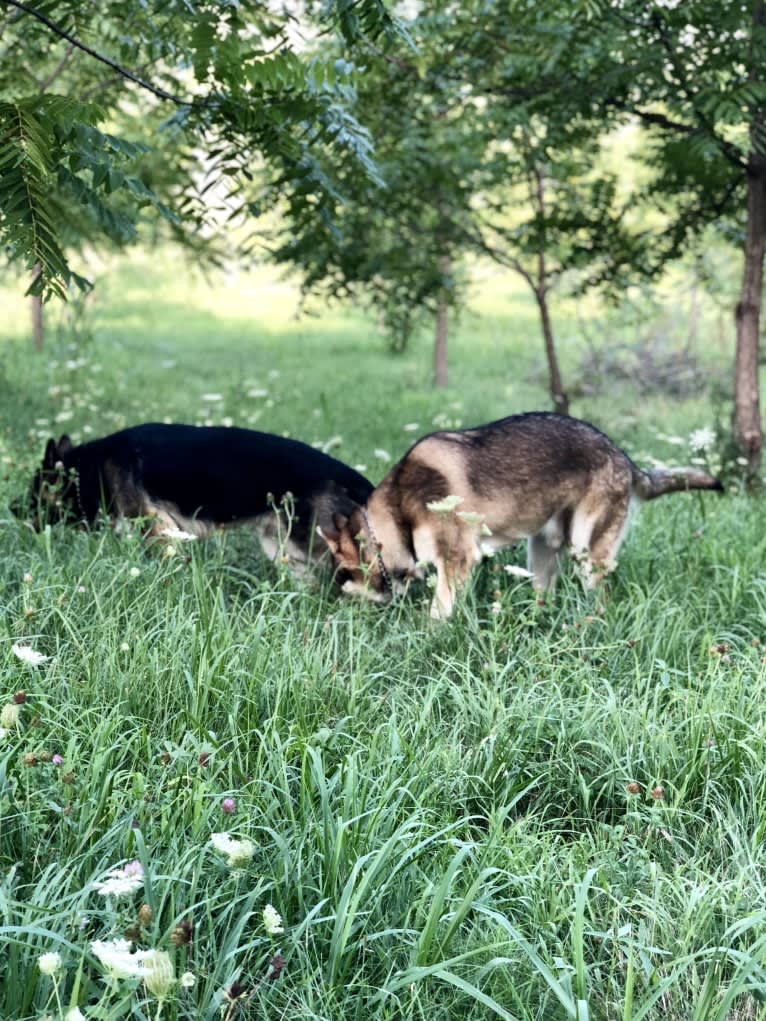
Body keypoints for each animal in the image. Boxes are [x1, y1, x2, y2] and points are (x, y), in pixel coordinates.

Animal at [22, 418, 373, 571]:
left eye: (33, 489)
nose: (13, 509)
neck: (91, 467)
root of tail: (350, 475)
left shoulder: (154, 528)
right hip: (284, 548)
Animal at [318, 410, 727, 616]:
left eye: (343, 574)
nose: (332, 604)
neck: (397, 511)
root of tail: (624, 459)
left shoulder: (458, 562)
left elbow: (438, 614)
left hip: (587, 552)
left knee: (600, 600)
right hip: (542, 551)